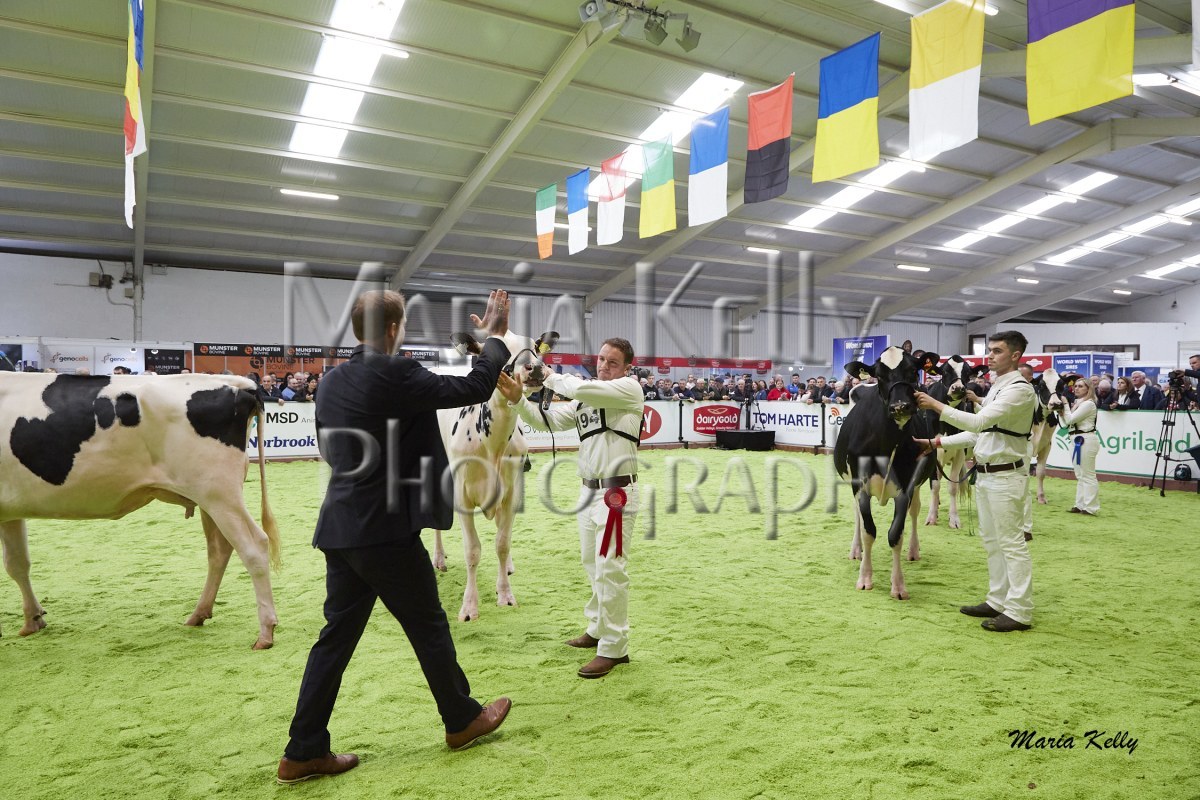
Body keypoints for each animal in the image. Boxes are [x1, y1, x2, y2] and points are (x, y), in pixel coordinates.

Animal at [0, 373, 281, 649]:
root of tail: (237, 383)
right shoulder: (11, 512)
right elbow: (18, 564)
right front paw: (33, 619)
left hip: (220, 494)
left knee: (254, 546)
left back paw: (265, 632)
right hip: (210, 499)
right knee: (219, 549)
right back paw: (198, 614)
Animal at [432, 329, 556, 622]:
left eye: (536, 347)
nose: (534, 368)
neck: (493, 444)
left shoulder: (512, 492)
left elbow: (502, 543)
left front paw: (506, 594)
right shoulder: (462, 495)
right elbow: (472, 550)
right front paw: (469, 607)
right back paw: (439, 558)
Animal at [834, 347, 938, 600]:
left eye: (913, 371)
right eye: (879, 376)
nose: (900, 406)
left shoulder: (905, 489)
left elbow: (895, 534)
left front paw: (898, 586)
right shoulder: (860, 487)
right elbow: (868, 531)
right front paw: (864, 578)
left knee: (915, 512)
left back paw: (914, 549)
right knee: (857, 517)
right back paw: (856, 550)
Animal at [922, 355, 988, 529]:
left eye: (967, 373)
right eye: (945, 371)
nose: (958, 388)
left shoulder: (959, 452)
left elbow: (952, 486)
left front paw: (954, 519)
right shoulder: (932, 451)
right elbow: (935, 485)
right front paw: (931, 516)